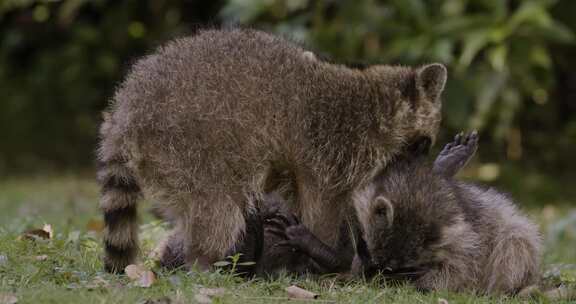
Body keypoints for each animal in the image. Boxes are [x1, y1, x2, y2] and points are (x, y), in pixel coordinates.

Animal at [98, 28, 446, 272]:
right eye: (423, 144)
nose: (424, 175)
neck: (379, 108)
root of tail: (127, 106)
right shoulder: (331, 148)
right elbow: (322, 205)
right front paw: (324, 255)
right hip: (187, 142)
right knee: (218, 208)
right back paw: (205, 263)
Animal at [354, 131, 544, 294]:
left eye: (399, 268)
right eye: (368, 252)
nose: (375, 277)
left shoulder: (465, 241)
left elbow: (459, 270)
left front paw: (419, 284)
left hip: (515, 237)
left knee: (514, 245)